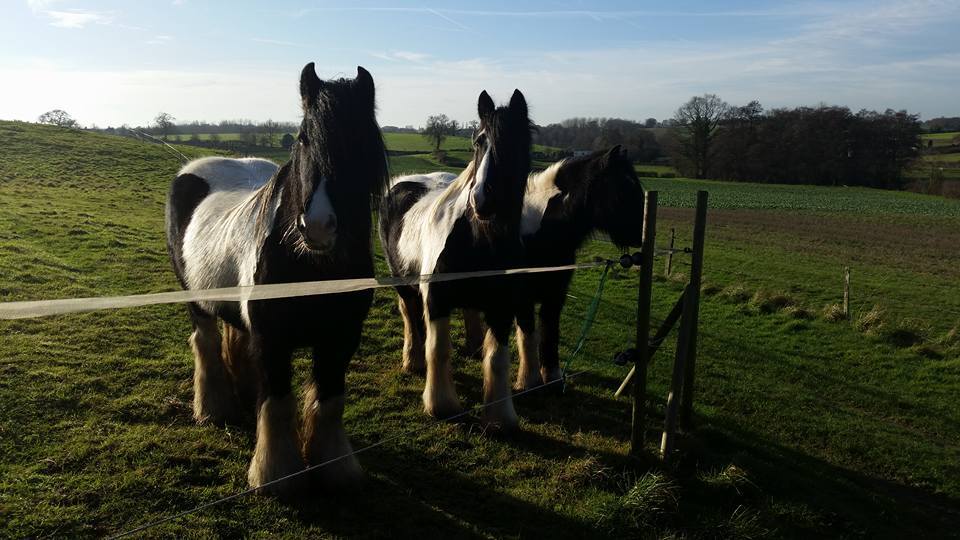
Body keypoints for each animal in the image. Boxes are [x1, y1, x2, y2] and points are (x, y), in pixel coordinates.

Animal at [167, 63, 388, 494]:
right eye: (303, 138)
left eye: (361, 141)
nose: (317, 226)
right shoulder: (274, 341)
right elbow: (279, 401)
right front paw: (277, 476)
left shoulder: (341, 339)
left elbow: (329, 400)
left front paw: (336, 470)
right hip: (196, 300)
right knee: (206, 343)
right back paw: (214, 409)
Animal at [378, 89, 532, 430]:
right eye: (478, 141)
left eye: (516, 142)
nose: (481, 200)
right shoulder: (436, 297)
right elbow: (439, 350)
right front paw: (442, 405)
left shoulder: (503, 304)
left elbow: (498, 359)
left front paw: (500, 417)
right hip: (404, 283)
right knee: (411, 316)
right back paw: (413, 359)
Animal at [462, 146, 640, 388]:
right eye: (623, 187)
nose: (639, 234)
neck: (541, 228)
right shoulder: (522, 296)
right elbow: (528, 332)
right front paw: (528, 380)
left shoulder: (555, 293)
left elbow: (550, 330)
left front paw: (552, 378)